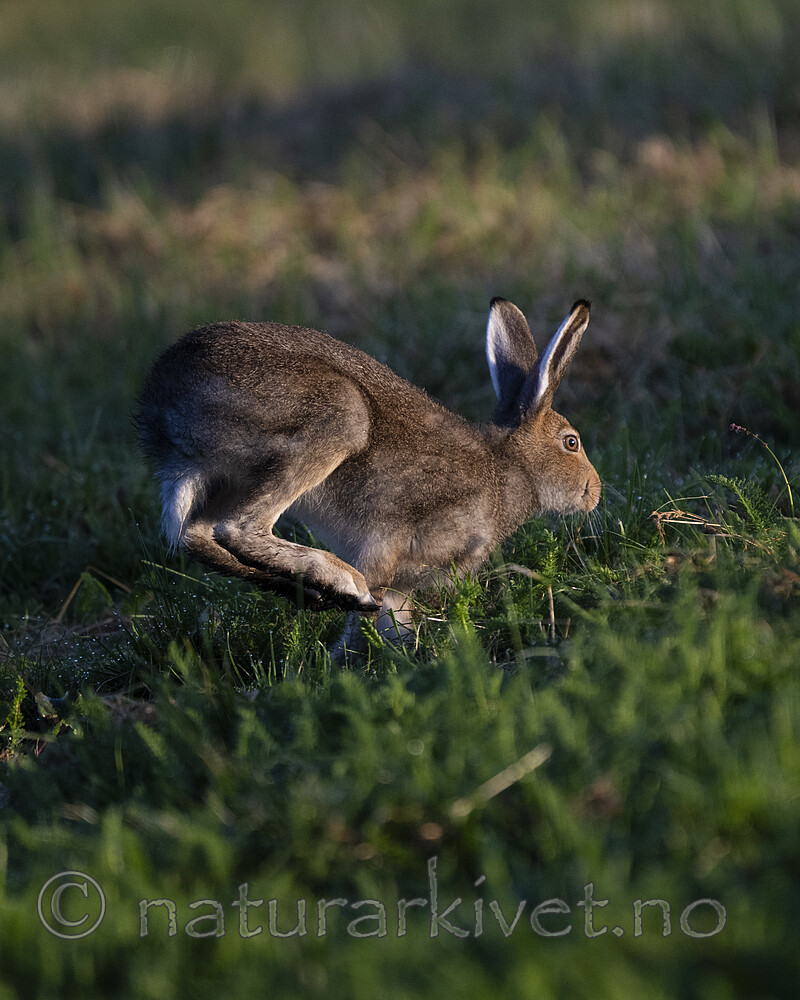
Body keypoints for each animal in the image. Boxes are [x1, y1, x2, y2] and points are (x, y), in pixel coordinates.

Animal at [137, 297, 601, 659]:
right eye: (571, 443)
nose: (594, 494)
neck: (510, 467)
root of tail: (162, 405)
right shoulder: (389, 543)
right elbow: (372, 613)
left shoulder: (403, 585)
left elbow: (395, 623)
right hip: (338, 417)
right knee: (238, 528)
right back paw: (343, 583)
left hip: (221, 476)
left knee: (192, 535)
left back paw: (310, 594)